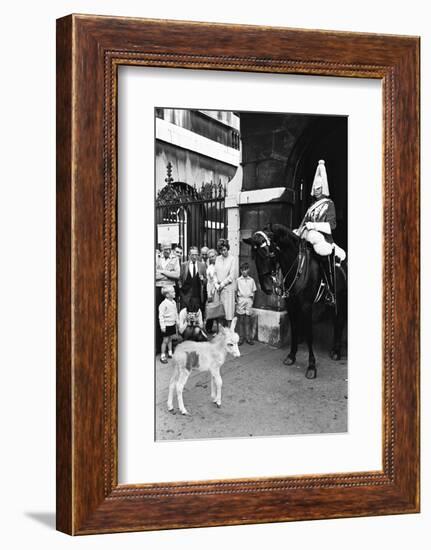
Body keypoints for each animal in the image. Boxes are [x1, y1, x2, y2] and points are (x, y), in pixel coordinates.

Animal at [245, 224, 350, 380]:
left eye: (270, 253)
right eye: (254, 255)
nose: (266, 288)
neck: (297, 268)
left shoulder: (307, 307)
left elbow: (309, 334)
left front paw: (311, 366)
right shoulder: (291, 305)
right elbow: (295, 329)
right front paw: (291, 356)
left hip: (342, 299)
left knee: (340, 321)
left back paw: (337, 352)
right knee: (337, 321)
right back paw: (335, 350)